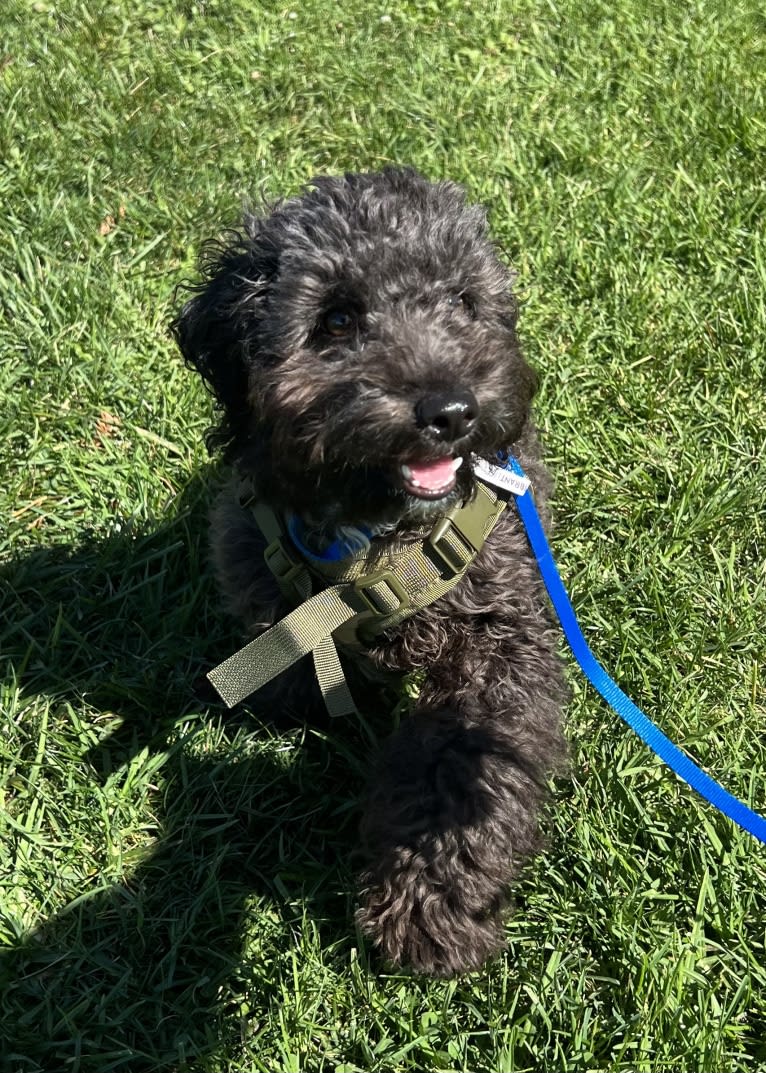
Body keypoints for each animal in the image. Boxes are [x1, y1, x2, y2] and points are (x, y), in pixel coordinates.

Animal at [174, 165, 566, 974]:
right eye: (337, 319)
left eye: (463, 301)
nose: (453, 410)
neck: (371, 545)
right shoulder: (255, 559)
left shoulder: (500, 640)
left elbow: (460, 766)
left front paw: (429, 907)